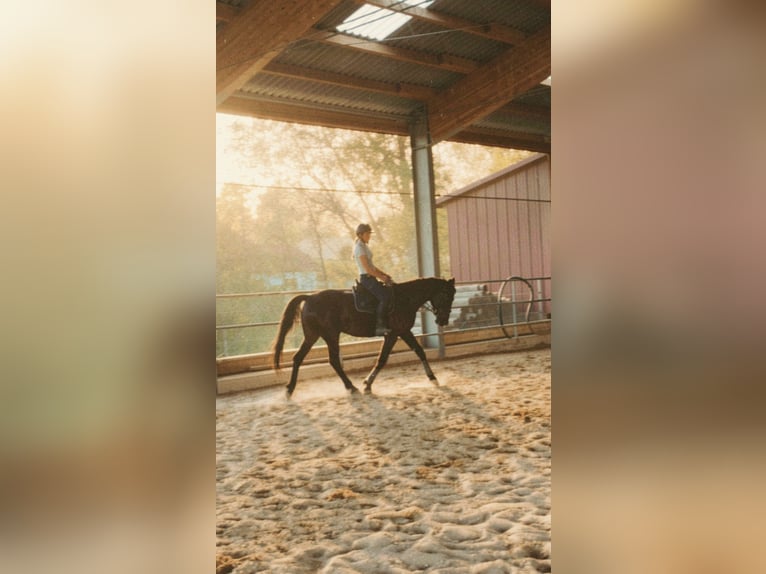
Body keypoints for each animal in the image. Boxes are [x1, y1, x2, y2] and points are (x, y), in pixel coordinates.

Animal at [271, 277, 456, 397]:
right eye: (447, 296)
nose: (443, 320)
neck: (405, 299)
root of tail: (309, 297)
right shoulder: (393, 334)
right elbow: (382, 359)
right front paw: (367, 384)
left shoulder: (403, 331)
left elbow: (419, 351)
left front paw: (433, 378)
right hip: (330, 335)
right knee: (333, 360)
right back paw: (351, 387)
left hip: (313, 335)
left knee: (298, 358)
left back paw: (290, 389)